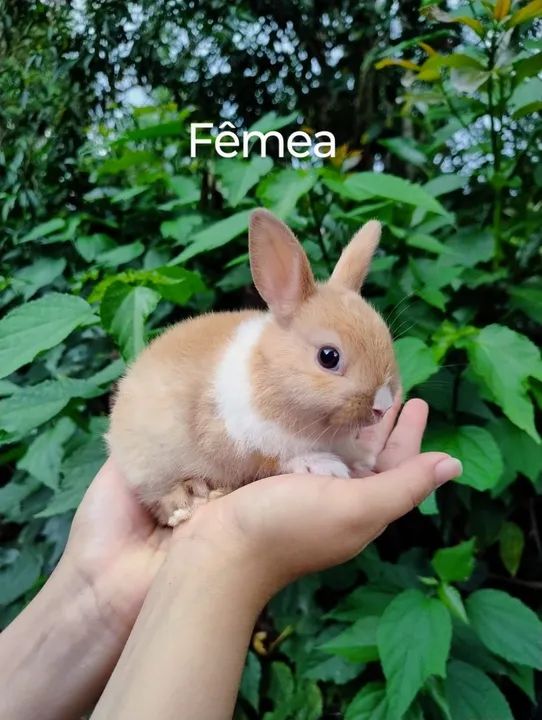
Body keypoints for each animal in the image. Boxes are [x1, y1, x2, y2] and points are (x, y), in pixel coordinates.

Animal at [106, 209, 400, 527]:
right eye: (328, 357)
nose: (383, 406)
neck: (269, 374)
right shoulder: (243, 441)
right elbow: (277, 459)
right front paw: (324, 465)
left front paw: (362, 456)